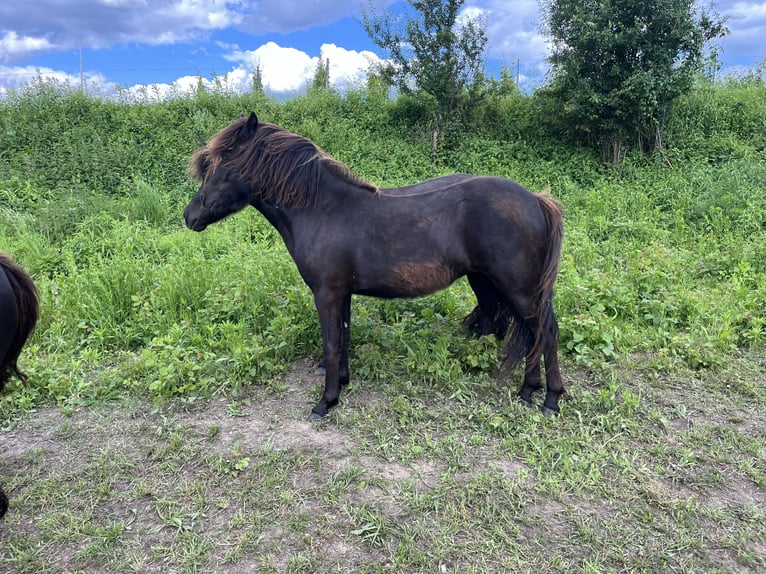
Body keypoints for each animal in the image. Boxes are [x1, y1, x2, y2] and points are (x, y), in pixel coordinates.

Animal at [183, 115, 568, 424]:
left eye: (221, 167)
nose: (191, 217)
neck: (323, 210)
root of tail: (536, 200)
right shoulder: (343, 293)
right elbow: (344, 336)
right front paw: (343, 382)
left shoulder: (326, 293)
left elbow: (331, 344)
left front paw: (325, 402)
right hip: (489, 283)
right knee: (527, 332)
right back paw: (527, 391)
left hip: (519, 288)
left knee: (546, 330)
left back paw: (550, 398)